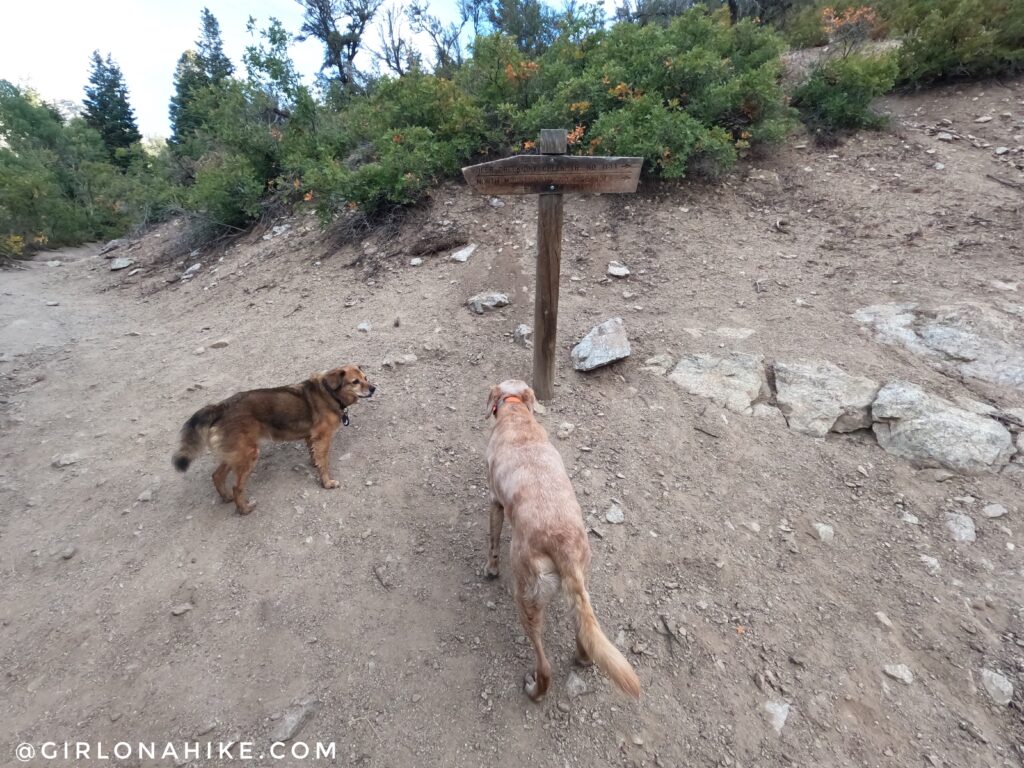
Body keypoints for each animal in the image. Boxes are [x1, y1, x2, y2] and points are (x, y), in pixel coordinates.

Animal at [173, 364, 376, 514]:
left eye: (366, 378)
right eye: (355, 382)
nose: (374, 388)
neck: (329, 393)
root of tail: (220, 407)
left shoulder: (310, 437)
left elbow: (314, 455)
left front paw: (314, 464)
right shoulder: (323, 439)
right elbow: (324, 463)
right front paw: (327, 483)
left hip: (235, 454)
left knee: (216, 476)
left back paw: (226, 498)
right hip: (248, 455)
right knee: (237, 487)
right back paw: (244, 509)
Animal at [481, 380, 634, 704]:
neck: (517, 415)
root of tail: (561, 545)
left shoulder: (494, 502)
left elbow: (492, 541)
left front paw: (490, 569)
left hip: (526, 596)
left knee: (545, 666)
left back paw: (534, 690)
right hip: (580, 589)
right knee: (585, 637)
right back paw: (582, 658)